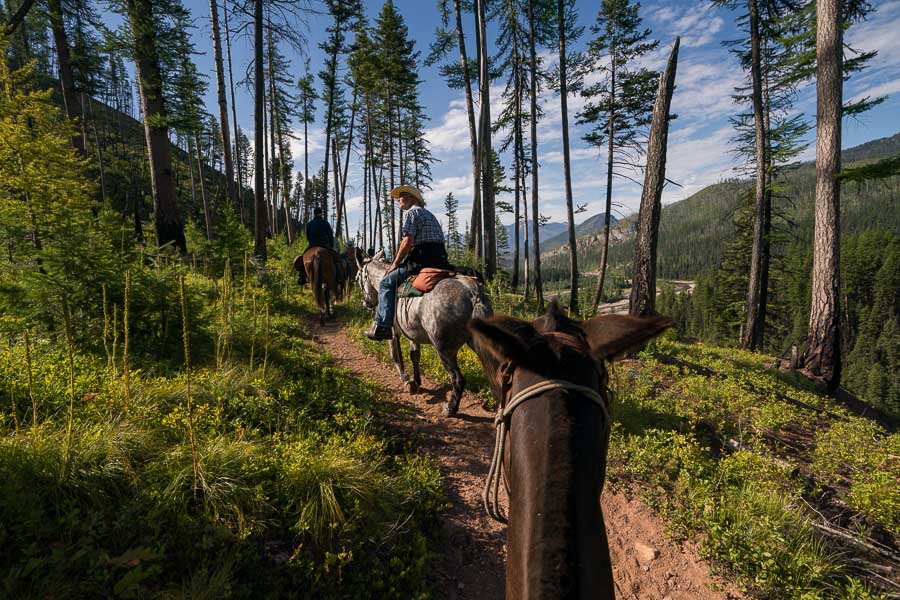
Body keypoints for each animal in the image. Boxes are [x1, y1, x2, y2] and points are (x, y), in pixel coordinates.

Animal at [355, 251, 493, 416]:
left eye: (357, 278)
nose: (366, 303)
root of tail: (473, 294)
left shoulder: (393, 331)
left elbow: (395, 355)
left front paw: (407, 381)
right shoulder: (413, 335)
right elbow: (414, 356)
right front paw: (416, 381)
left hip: (444, 349)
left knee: (458, 379)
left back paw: (450, 408)